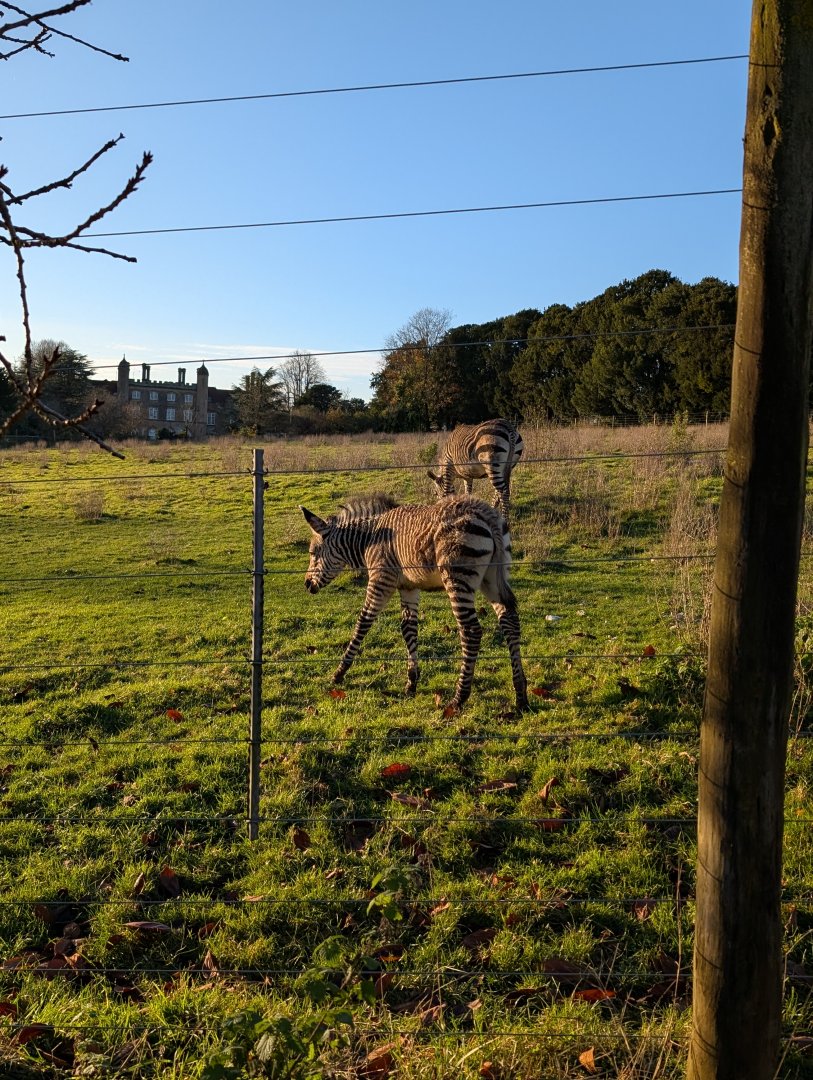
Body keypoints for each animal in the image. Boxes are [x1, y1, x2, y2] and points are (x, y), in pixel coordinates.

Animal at [300, 493, 529, 713]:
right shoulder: (408, 587)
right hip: (493, 578)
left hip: (458, 577)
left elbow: (362, 623)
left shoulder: (381, 579)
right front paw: (411, 682)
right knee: (509, 621)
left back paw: (459, 698)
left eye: (313, 553)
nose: (307, 584)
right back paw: (520, 694)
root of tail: (486, 514)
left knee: (471, 631)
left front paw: (339, 672)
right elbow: (408, 628)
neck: (370, 538)